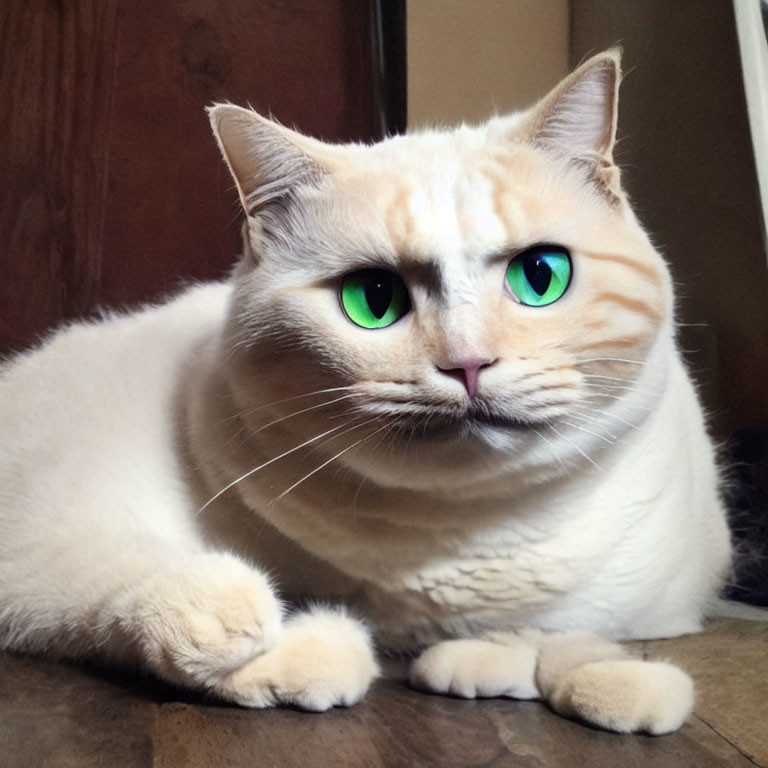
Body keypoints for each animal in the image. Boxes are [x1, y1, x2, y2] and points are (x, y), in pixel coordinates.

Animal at [0, 51, 732, 736]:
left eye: (541, 276)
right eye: (373, 299)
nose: (468, 363)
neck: (464, 538)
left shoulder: (660, 607)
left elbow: (572, 636)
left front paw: (534, 665)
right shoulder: (42, 525)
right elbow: (105, 579)